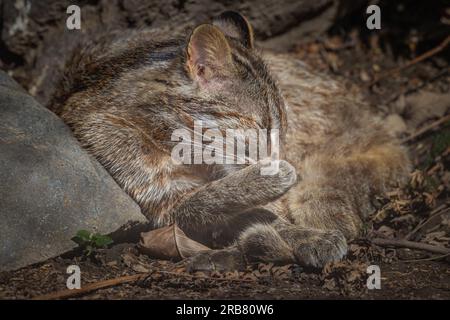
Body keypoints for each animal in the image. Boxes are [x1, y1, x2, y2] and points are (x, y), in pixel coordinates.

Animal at [50, 11, 412, 270]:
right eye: (262, 127)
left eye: (282, 129)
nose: (278, 159)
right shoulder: (163, 202)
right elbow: (204, 203)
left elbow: (266, 214)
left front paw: (303, 234)